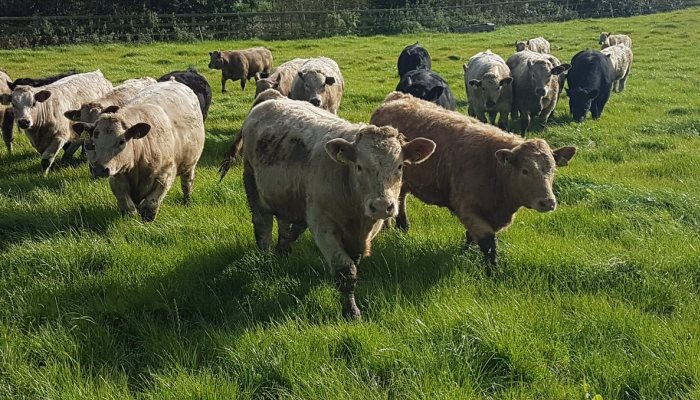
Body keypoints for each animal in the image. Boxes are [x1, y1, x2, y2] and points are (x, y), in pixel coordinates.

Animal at [71, 81, 205, 222]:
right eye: (94, 142)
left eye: (122, 141)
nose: (99, 169)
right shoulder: (117, 178)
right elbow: (127, 206)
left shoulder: (165, 175)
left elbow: (150, 204)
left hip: (190, 165)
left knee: (187, 183)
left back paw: (186, 201)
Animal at [241, 90, 435, 319]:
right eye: (359, 166)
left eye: (399, 166)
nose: (381, 206)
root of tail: (272, 97)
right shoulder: (324, 228)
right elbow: (346, 272)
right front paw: (351, 312)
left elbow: (353, 264)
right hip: (251, 181)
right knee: (262, 226)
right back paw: (266, 258)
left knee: (285, 224)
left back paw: (283, 250)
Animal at [370, 92, 576, 267]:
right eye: (525, 171)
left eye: (552, 170)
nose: (548, 202)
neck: (494, 170)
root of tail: (397, 97)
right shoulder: (468, 208)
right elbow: (488, 244)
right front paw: (492, 272)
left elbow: (471, 238)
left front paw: (466, 252)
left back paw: (402, 227)